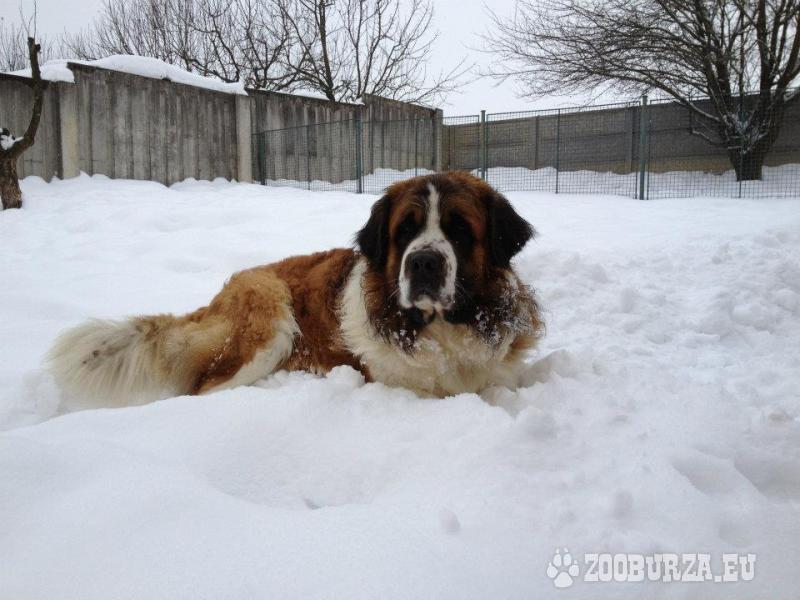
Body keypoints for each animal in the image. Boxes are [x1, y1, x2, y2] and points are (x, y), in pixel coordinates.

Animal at [48, 172, 543, 408]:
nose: (422, 262)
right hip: (269, 319)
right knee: (203, 389)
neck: (440, 331)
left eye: (459, 231)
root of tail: (217, 297)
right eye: (406, 230)